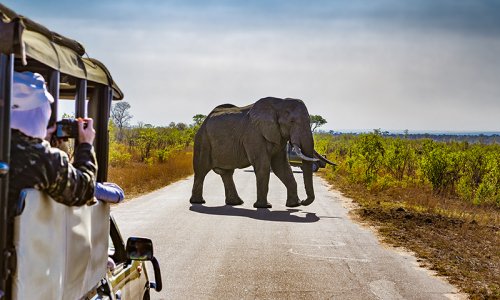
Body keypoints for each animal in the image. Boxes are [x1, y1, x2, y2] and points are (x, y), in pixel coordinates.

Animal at [189, 96, 318, 209]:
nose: (304, 201)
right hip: (202, 141)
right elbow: (263, 165)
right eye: (291, 121)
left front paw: (294, 205)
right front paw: (264, 207)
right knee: (201, 170)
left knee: (226, 173)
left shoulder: (278, 137)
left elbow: (281, 166)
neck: (279, 103)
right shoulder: (254, 134)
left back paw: (236, 203)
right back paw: (198, 202)